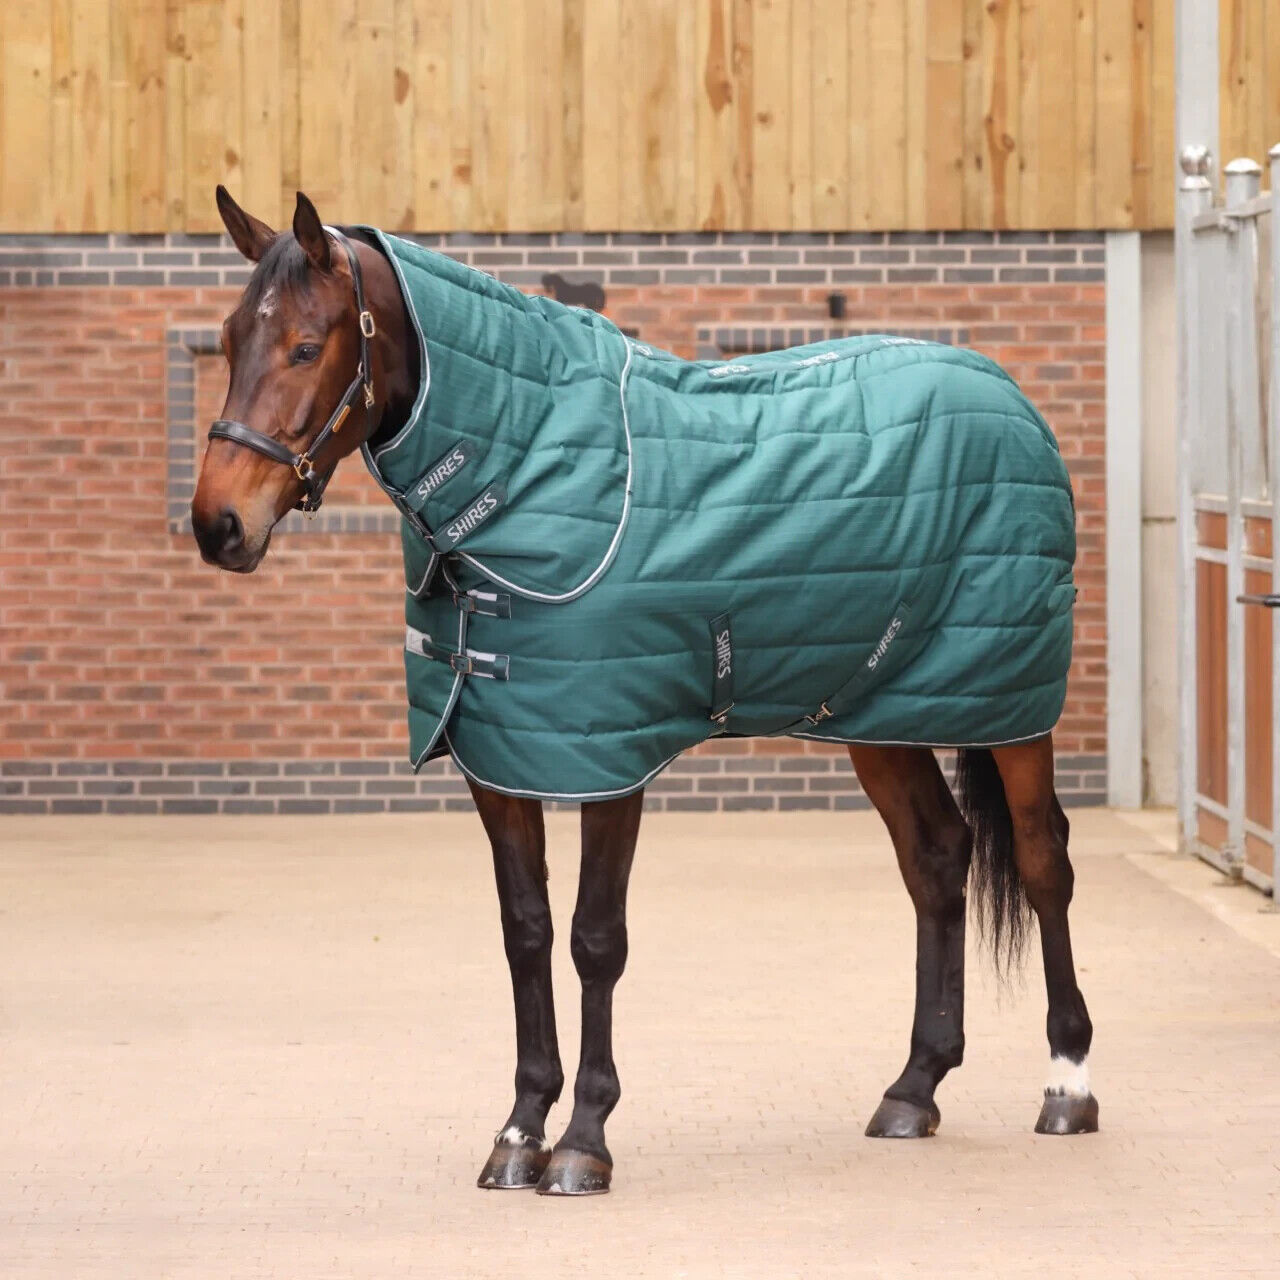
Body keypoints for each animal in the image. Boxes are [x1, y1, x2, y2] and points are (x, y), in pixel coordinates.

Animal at [191, 187, 1097, 1197]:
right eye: (228, 340)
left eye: (307, 346)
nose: (218, 525)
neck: (527, 467)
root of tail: (1009, 397)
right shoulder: (499, 760)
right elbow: (526, 931)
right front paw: (519, 1134)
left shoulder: (608, 756)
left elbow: (595, 937)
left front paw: (583, 1142)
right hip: (876, 716)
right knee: (938, 860)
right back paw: (915, 1088)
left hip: (1012, 712)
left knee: (1041, 860)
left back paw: (1067, 1084)